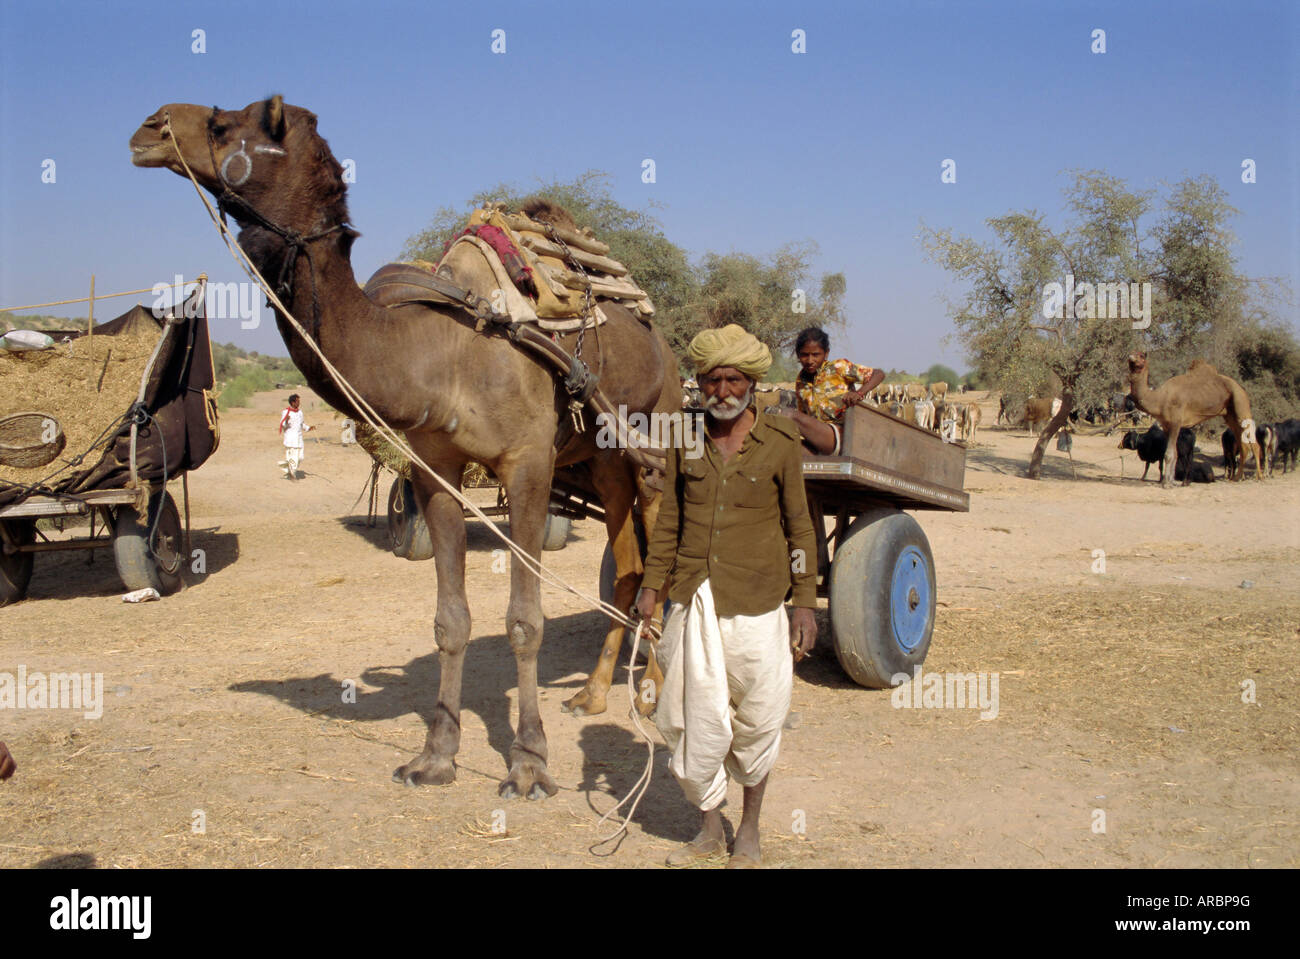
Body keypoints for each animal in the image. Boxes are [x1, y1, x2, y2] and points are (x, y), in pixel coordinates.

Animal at [131, 98, 681, 800]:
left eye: (229, 124)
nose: (149, 128)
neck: (442, 352)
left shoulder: (529, 464)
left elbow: (524, 622)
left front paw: (529, 763)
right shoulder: (434, 468)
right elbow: (450, 620)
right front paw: (436, 757)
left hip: (658, 427)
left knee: (665, 554)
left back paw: (652, 691)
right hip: (601, 461)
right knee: (631, 565)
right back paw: (592, 694)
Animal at [1128, 350, 1258, 485]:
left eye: (1141, 356)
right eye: (1133, 353)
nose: (1130, 357)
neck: (1160, 398)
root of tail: (1241, 388)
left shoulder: (1176, 422)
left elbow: (1169, 453)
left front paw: (1166, 484)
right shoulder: (1166, 426)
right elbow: (1174, 453)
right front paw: (1170, 481)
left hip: (1240, 403)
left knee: (1254, 443)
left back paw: (1258, 477)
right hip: (1229, 415)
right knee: (1243, 445)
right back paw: (1237, 478)